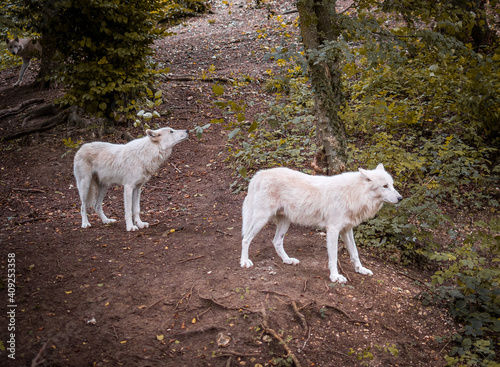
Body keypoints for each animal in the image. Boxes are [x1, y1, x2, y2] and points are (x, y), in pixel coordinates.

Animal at [239, 165, 402, 284]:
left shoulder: (347, 230)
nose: (400, 198)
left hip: (285, 222)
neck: (354, 194)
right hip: (261, 219)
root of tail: (260, 174)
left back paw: (288, 260)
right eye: (385, 186)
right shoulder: (333, 230)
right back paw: (245, 261)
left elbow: (355, 253)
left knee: (276, 242)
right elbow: (334, 257)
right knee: (246, 239)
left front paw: (360, 269)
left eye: (392, 185)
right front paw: (335, 277)